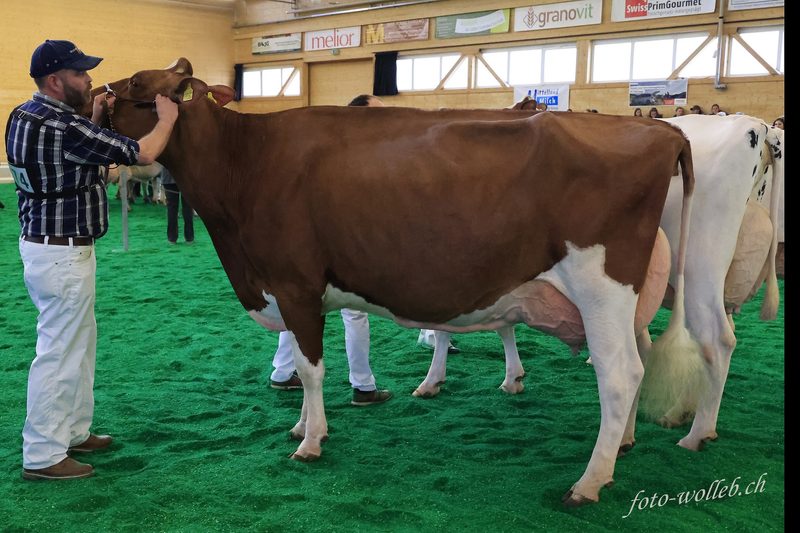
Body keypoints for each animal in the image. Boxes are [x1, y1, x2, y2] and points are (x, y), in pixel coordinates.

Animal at [94, 58, 698, 506]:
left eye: (138, 85)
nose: (93, 99)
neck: (245, 166)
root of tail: (660, 128)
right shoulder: (292, 289)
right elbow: (308, 365)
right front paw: (302, 427)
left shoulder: (294, 283)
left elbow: (312, 369)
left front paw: (310, 442)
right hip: (627, 300)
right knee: (640, 361)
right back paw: (624, 446)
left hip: (602, 290)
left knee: (619, 376)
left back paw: (588, 482)